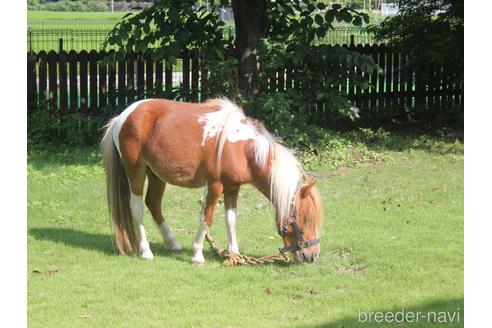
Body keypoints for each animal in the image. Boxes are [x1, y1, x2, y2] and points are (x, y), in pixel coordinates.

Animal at [100, 97, 322, 264]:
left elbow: (231, 219)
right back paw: (146, 251)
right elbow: (207, 218)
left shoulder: (233, 188)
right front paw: (197, 254)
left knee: (153, 204)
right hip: (136, 172)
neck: (241, 149)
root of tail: (123, 117)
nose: (312, 255)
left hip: (156, 175)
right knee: (137, 208)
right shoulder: (215, 186)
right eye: (304, 219)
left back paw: (173, 243)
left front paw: (234, 253)